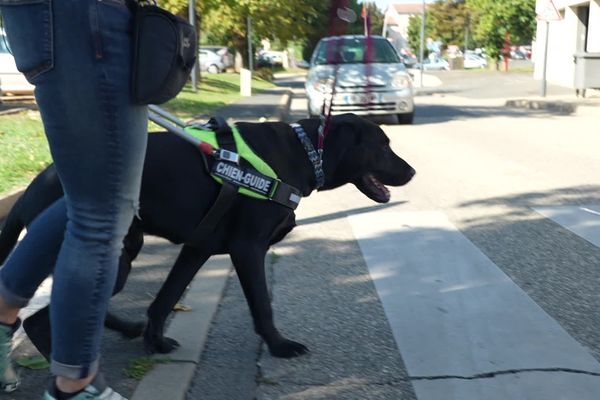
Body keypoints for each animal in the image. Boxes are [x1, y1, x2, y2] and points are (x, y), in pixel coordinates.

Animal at [0, 112, 414, 360]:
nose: (411, 172)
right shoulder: (248, 249)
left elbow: (165, 300)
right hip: (108, 256)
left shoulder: (197, 248)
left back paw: (129, 330)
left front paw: (155, 341)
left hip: (123, 252)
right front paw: (279, 345)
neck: (303, 151)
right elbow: (262, 305)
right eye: (383, 146)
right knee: (38, 321)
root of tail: (31, 188)